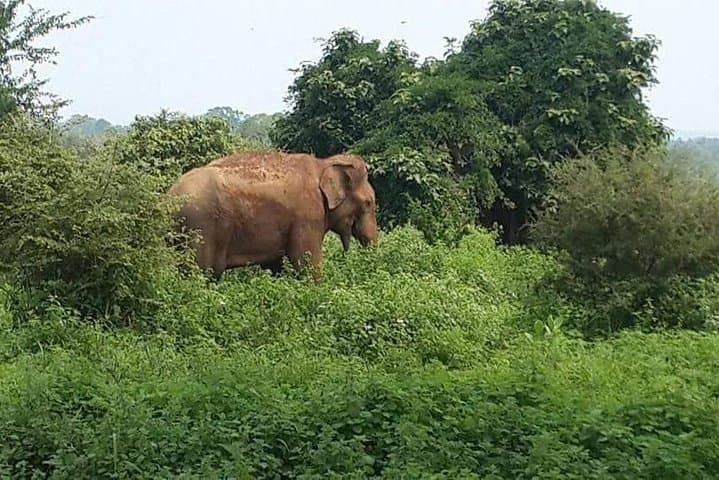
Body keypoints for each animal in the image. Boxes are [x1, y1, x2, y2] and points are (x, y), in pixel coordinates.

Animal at [168, 150, 378, 280]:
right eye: (369, 203)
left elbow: (278, 266)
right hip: (200, 230)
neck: (323, 163)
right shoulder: (307, 215)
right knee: (203, 274)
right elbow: (306, 262)